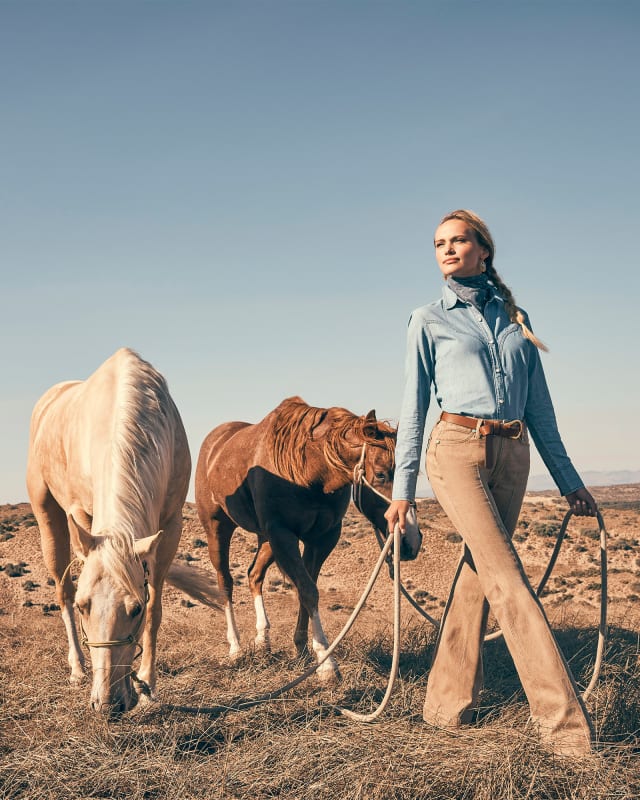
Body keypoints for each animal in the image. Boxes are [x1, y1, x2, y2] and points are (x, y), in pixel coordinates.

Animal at [26, 346, 220, 716]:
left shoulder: (170, 525)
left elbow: (157, 609)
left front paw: (147, 684)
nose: (107, 703)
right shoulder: (81, 515)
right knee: (62, 589)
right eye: (85, 607)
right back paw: (77, 668)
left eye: (135, 610)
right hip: (48, 517)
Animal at [195, 396, 422, 680]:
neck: (308, 471)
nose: (411, 541)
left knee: (254, 575)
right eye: (381, 474)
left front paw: (303, 649)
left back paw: (263, 640)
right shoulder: (283, 535)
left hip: (265, 539)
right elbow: (308, 591)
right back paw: (236, 648)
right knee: (225, 582)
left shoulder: (321, 538)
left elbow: (307, 589)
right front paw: (326, 662)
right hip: (218, 528)